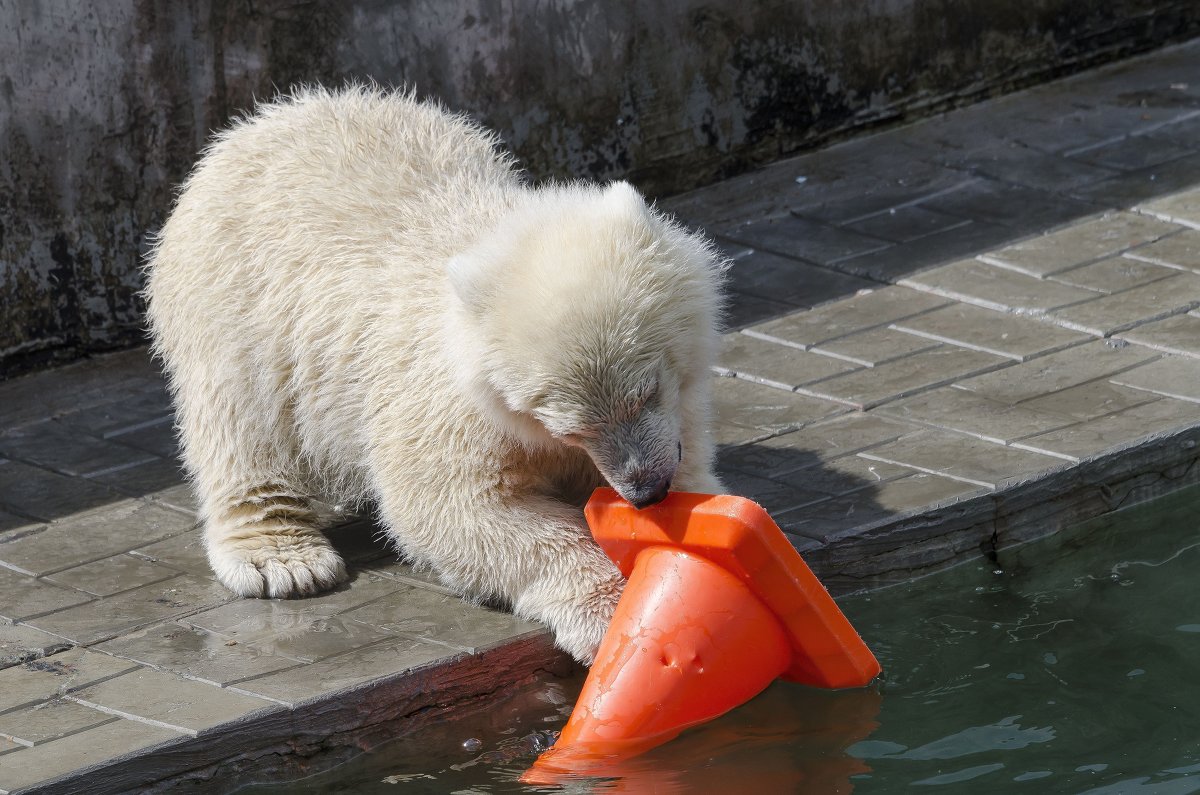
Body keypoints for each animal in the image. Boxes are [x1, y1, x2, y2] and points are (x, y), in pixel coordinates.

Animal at [141, 85, 720, 667]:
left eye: (647, 392)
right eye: (573, 426)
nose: (646, 491)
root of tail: (257, 124)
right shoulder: (445, 405)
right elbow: (450, 503)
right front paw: (608, 609)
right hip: (236, 309)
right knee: (242, 426)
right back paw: (282, 559)